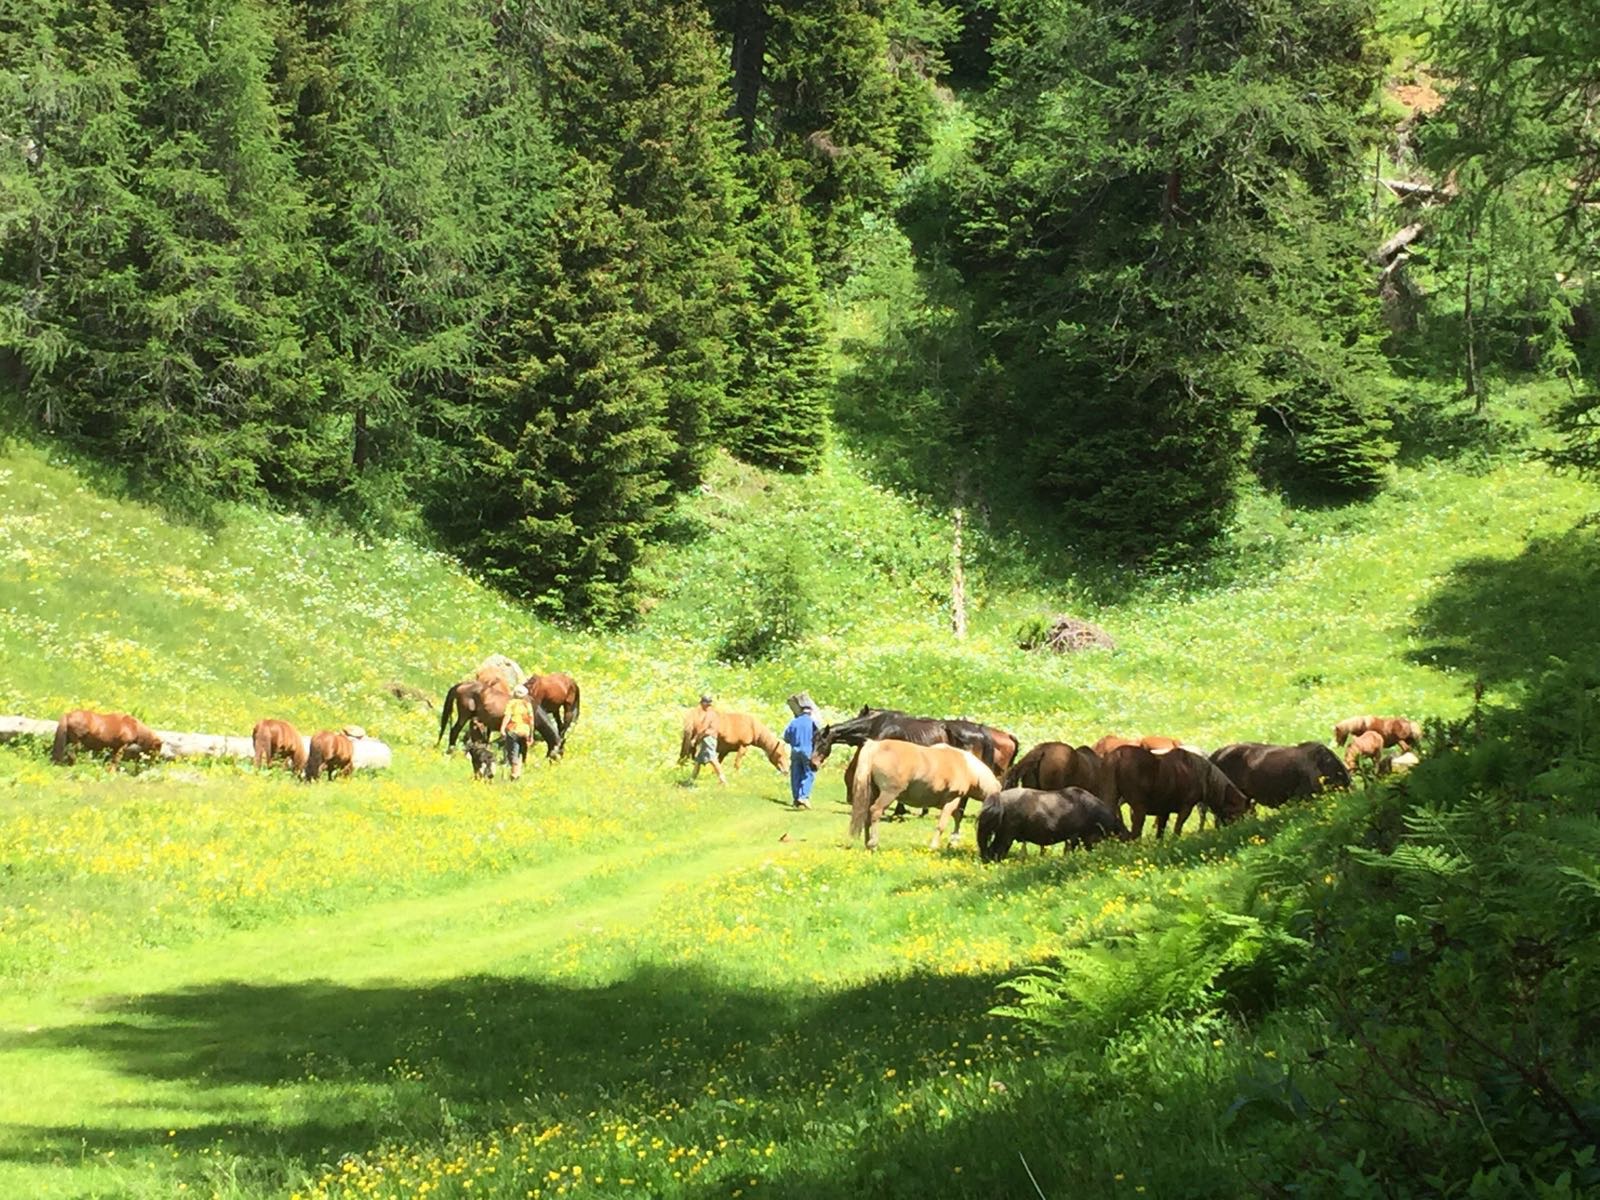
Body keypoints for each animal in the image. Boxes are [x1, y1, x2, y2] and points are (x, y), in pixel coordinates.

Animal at [847, 738, 1003, 852]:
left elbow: (957, 817)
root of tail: (876, 746)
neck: (966, 767)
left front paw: (953, 841)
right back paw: (873, 844)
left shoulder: (947, 802)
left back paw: (867, 843)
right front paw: (934, 846)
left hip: (873, 791)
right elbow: (942, 824)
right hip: (888, 793)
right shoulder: (952, 799)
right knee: (875, 811)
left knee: (867, 814)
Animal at [1099, 744, 1251, 839]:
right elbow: (1177, 829)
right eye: (1239, 812)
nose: (1239, 830)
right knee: (1135, 832)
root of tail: (1117, 756)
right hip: (1138, 807)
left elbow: (1160, 833)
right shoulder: (1186, 807)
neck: (1203, 777)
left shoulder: (1163, 811)